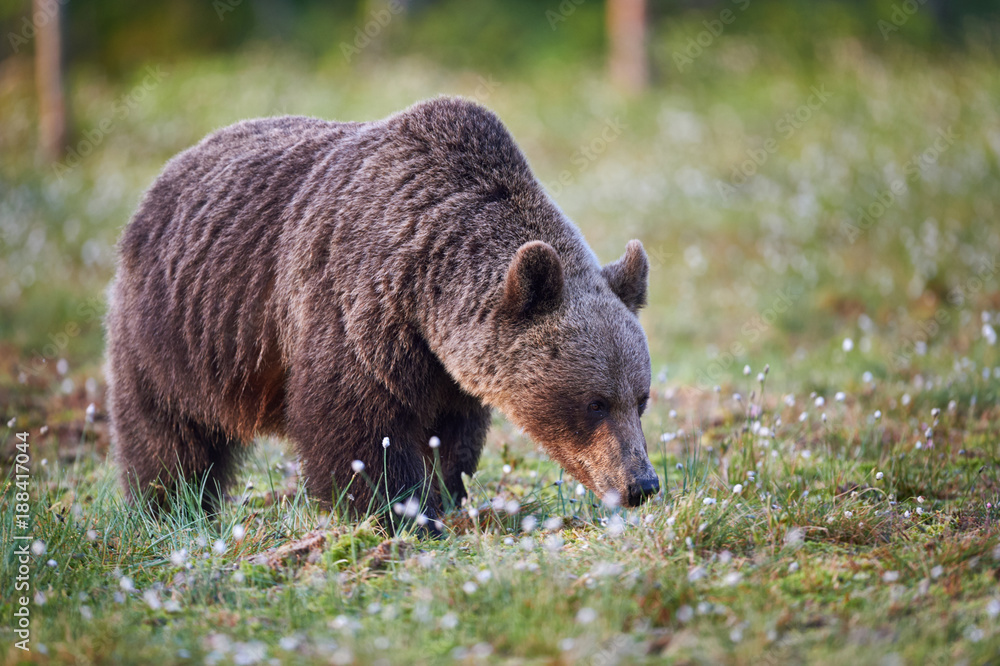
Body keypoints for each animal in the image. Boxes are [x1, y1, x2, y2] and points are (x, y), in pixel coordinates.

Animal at [105, 96, 660, 520]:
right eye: (595, 403)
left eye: (641, 398)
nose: (642, 483)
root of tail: (172, 170)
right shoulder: (354, 310)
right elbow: (358, 430)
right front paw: (398, 513)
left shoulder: (448, 368)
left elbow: (451, 439)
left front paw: (445, 497)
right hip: (178, 329)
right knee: (168, 433)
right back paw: (171, 507)